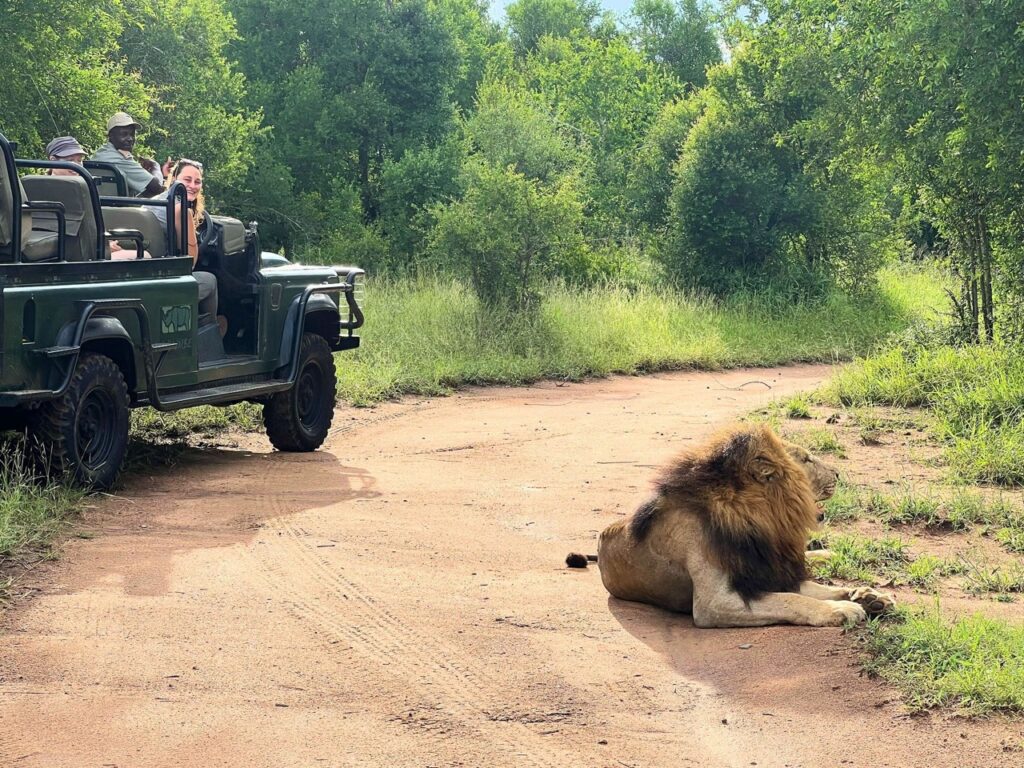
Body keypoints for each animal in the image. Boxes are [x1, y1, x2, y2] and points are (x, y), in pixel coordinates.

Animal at [593, 424, 894, 628]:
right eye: (807, 459)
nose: (838, 474)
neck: (762, 523)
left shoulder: (767, 571)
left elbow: (810, 589)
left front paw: (867, 596)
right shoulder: (713, 603)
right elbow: (791, 600)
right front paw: (841, 609)